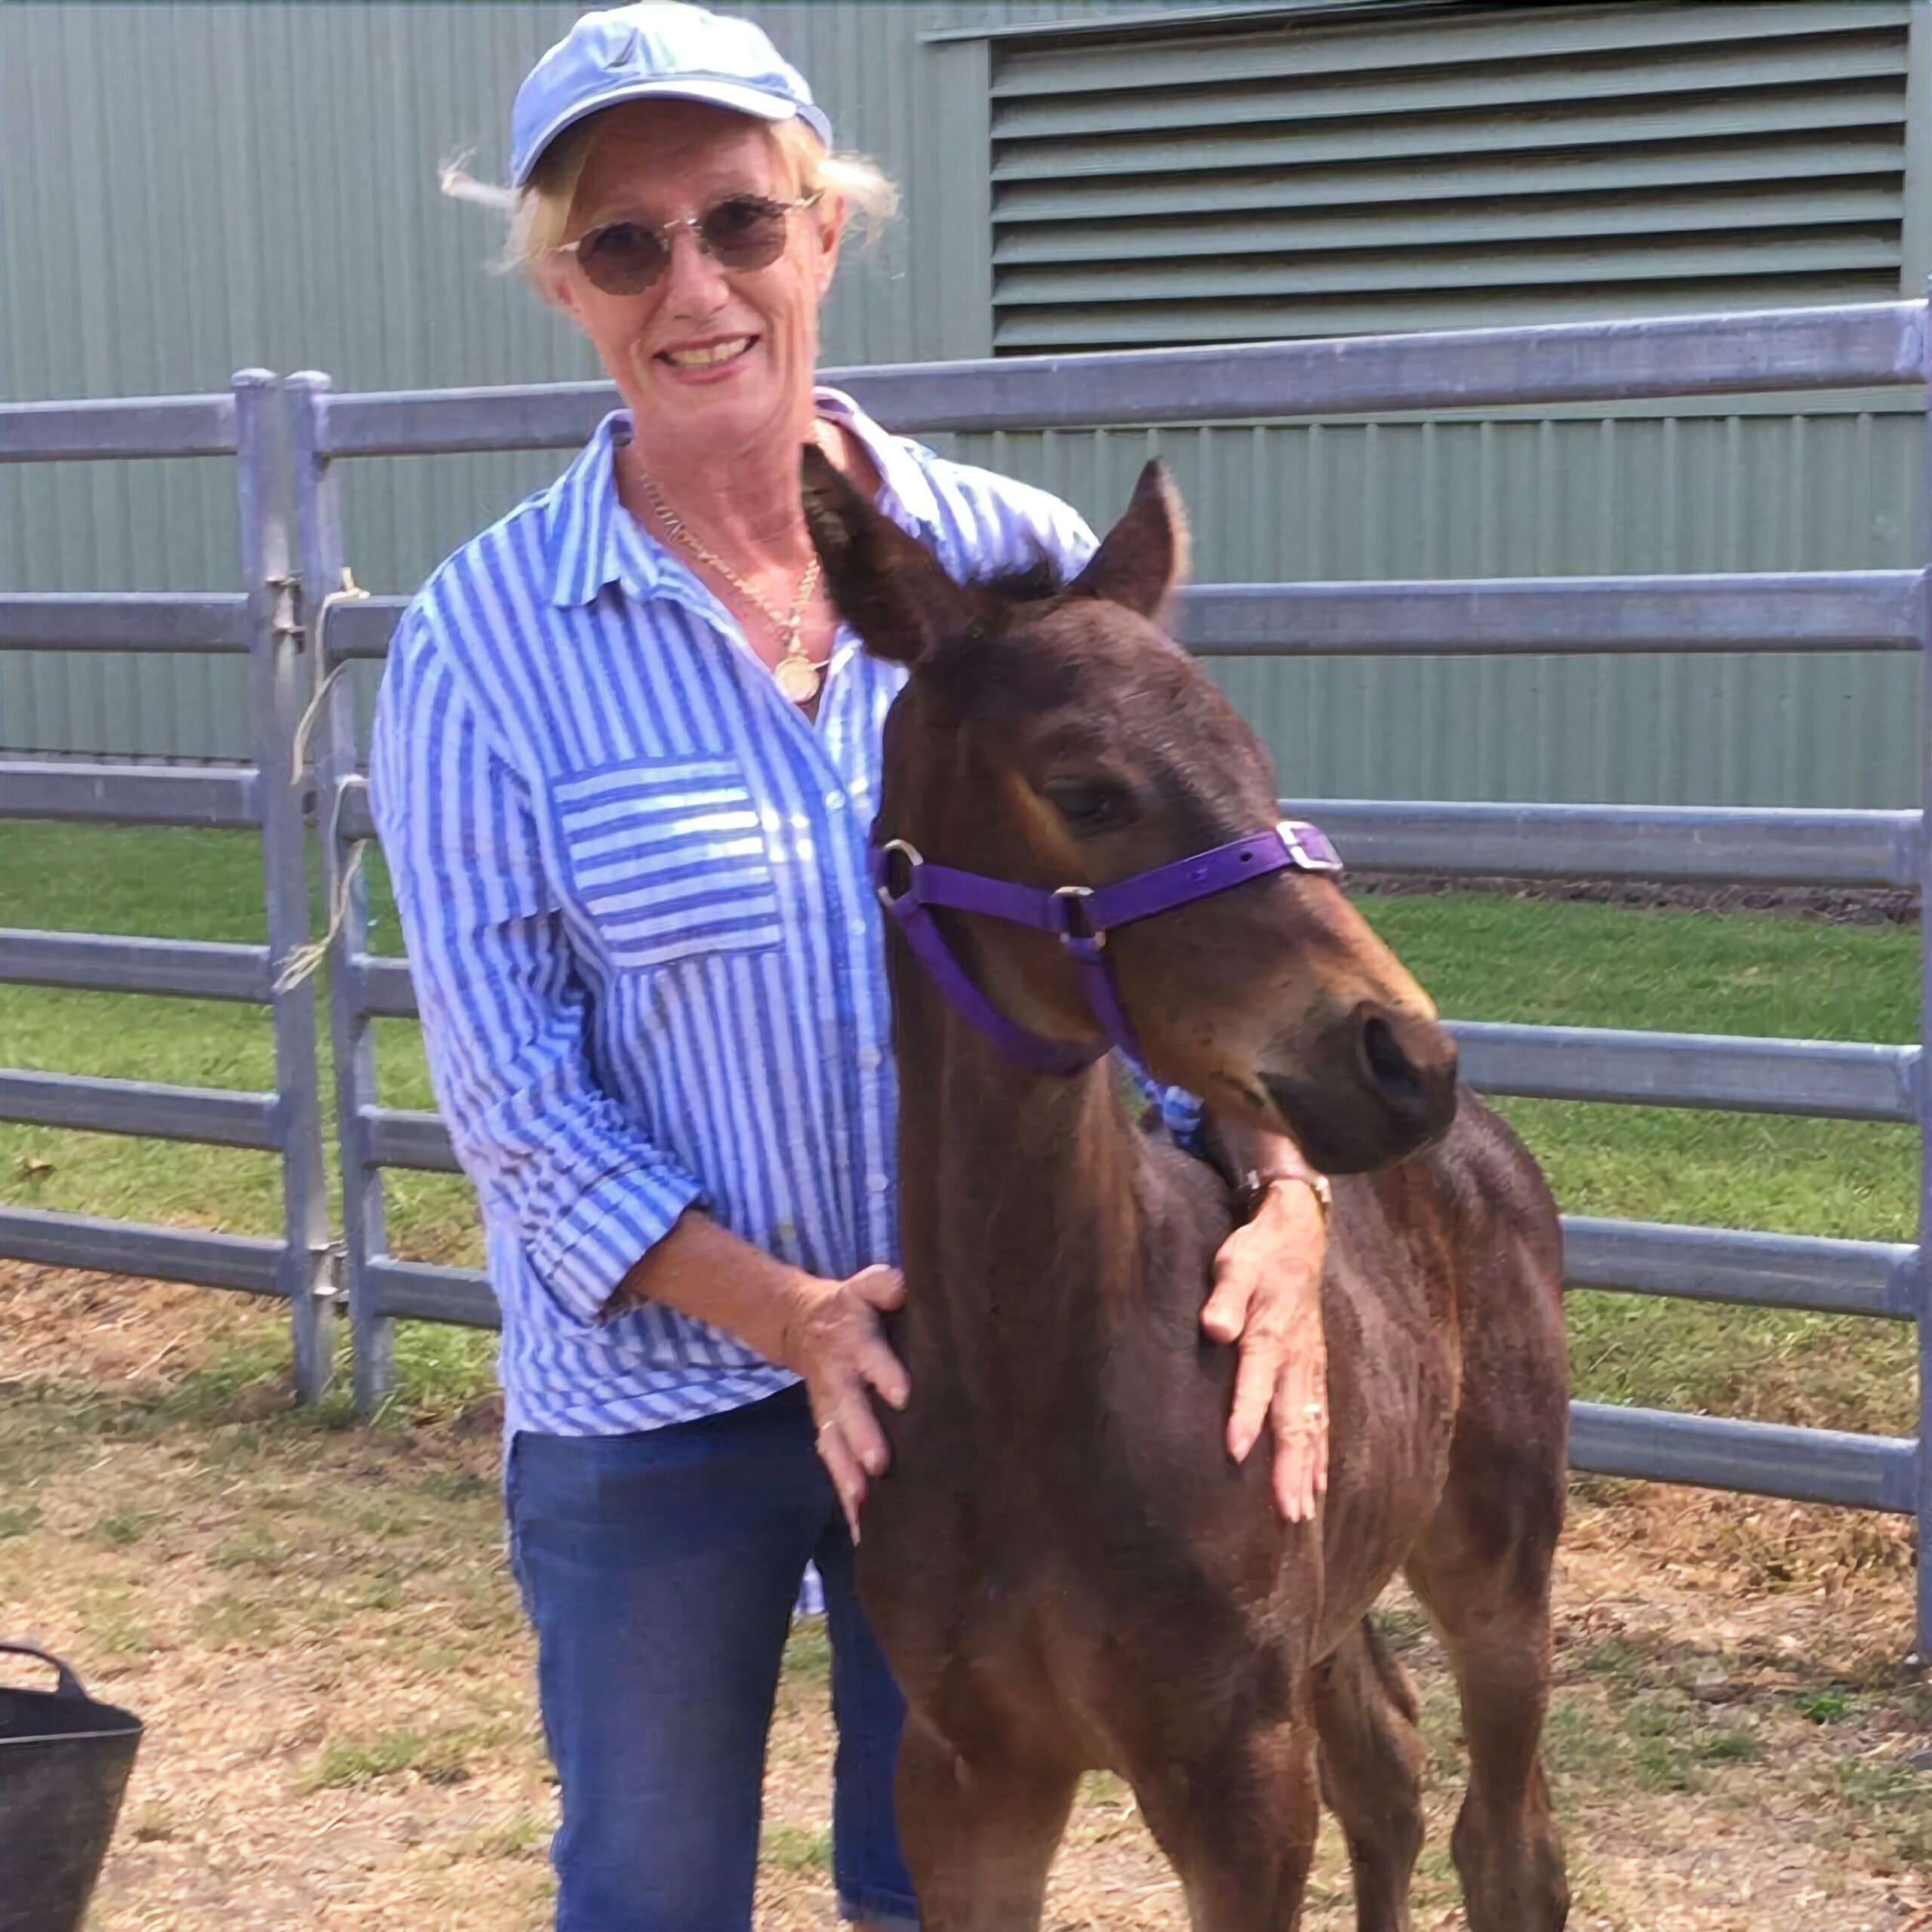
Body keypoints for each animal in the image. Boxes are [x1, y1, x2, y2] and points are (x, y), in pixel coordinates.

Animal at [799, 456, 1568, 1932]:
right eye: (1088, 790)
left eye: (1255, 765)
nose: (1403, 1060)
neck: (1033, 1388)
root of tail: (1489, 1149)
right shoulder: (966, 1770)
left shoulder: (1234, 1775)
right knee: (1387, 1766)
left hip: (1499, 1563)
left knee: (1507, 1845)